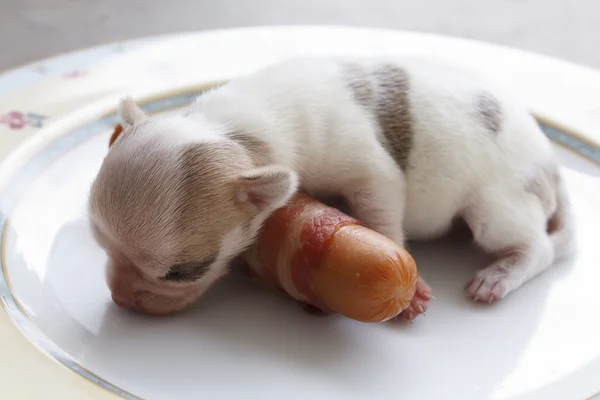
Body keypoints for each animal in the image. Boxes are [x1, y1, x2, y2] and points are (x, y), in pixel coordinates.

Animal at [88, 56, 572, 318]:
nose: (120, 298)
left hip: (497, 202)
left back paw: (501, 276)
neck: (233, 129)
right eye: (101, 247)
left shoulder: (371, 172)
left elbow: (382, 213)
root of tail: (552, 164)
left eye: (181, 273)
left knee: (538, 248)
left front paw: (411, 289)